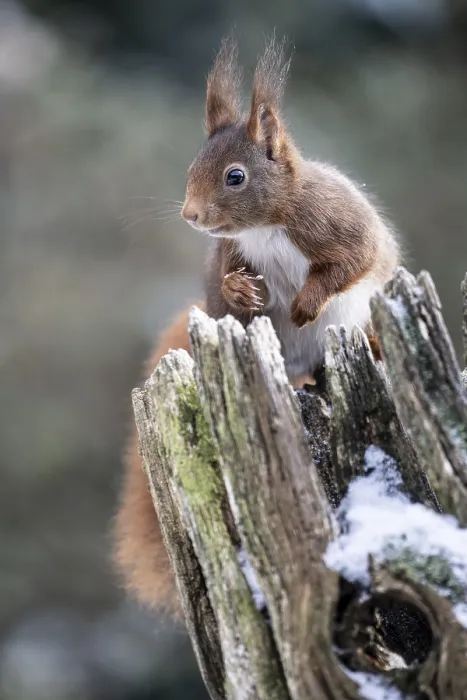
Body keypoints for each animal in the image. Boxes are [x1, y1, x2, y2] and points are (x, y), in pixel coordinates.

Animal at [113, 36, 400, 616]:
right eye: (192, 165)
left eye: (235, 176)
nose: (191, 215)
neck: (265, 226)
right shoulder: (230, 252)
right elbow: (228, 283)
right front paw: (242, 292)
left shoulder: (339, 224)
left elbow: (351, 262)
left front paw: (307, 301)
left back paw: (371, 342)